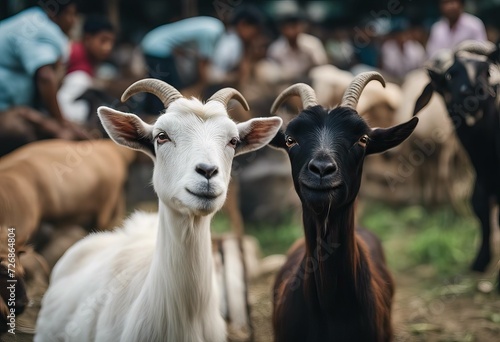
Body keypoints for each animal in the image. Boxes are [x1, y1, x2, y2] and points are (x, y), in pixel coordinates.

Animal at [414, 44, 500, 292]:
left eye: (486, 71)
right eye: (452, 74)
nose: (473, 91)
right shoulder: (480, 188)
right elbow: (482, 213)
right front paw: (480, 261)